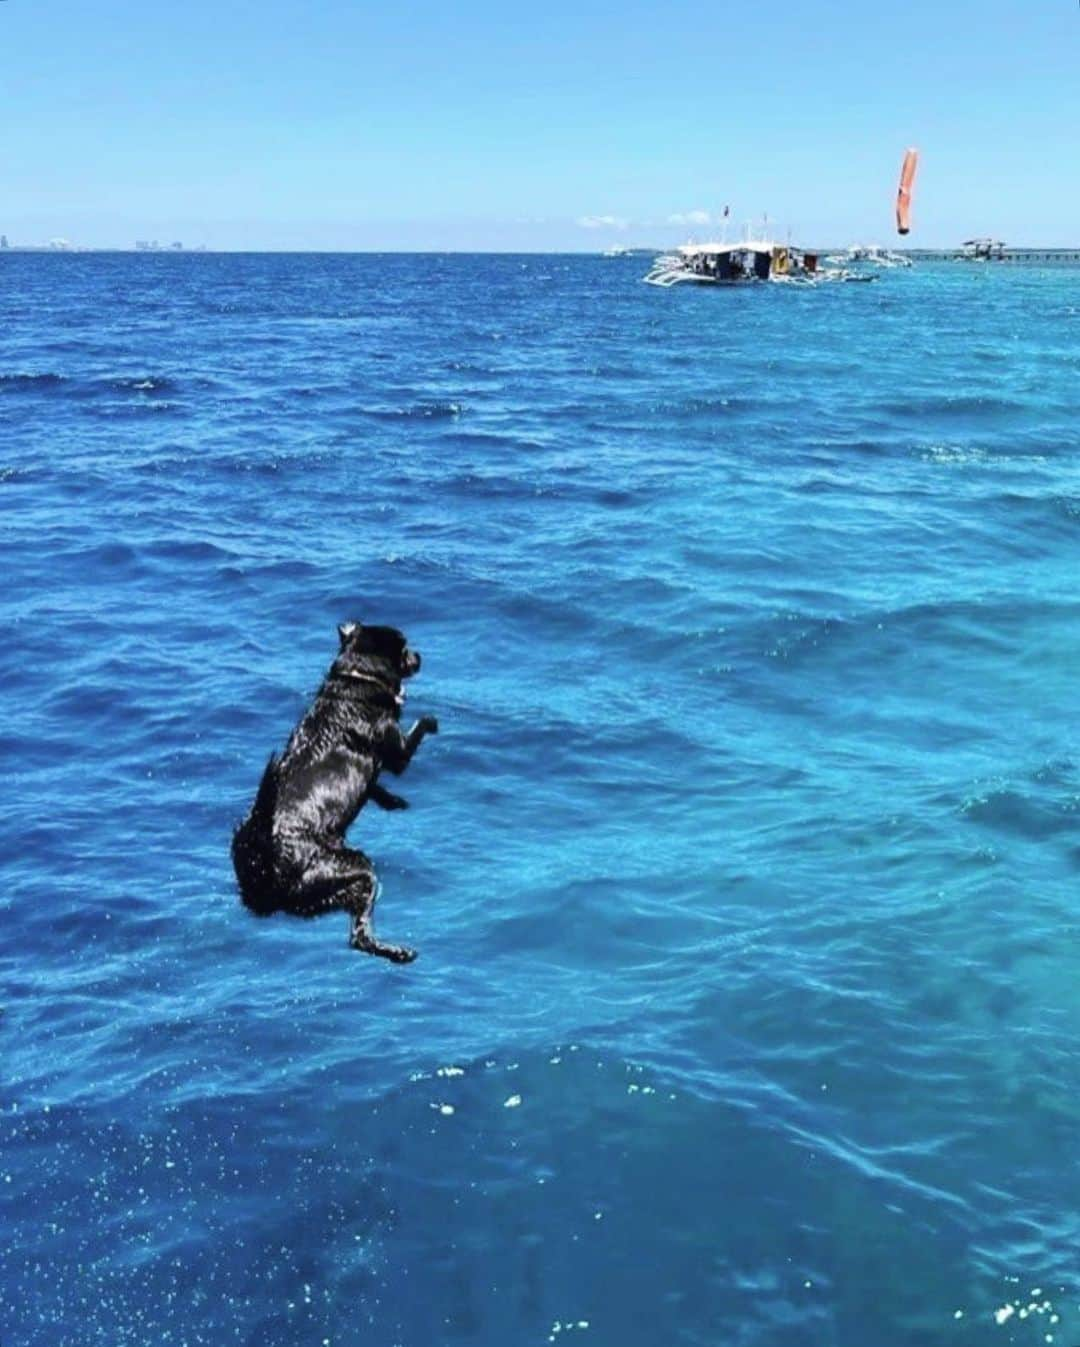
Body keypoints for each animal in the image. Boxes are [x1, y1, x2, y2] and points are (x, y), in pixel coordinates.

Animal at [232, 625, 436, 964]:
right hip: (354, 868)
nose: (419, 656)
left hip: (328, 893)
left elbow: (373, 786)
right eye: (405, 648)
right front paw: (431, 722)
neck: (357, 677)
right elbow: (415, 732)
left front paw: (391, 801)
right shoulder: (398, 753)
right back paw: (399, 953)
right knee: (359, 937)